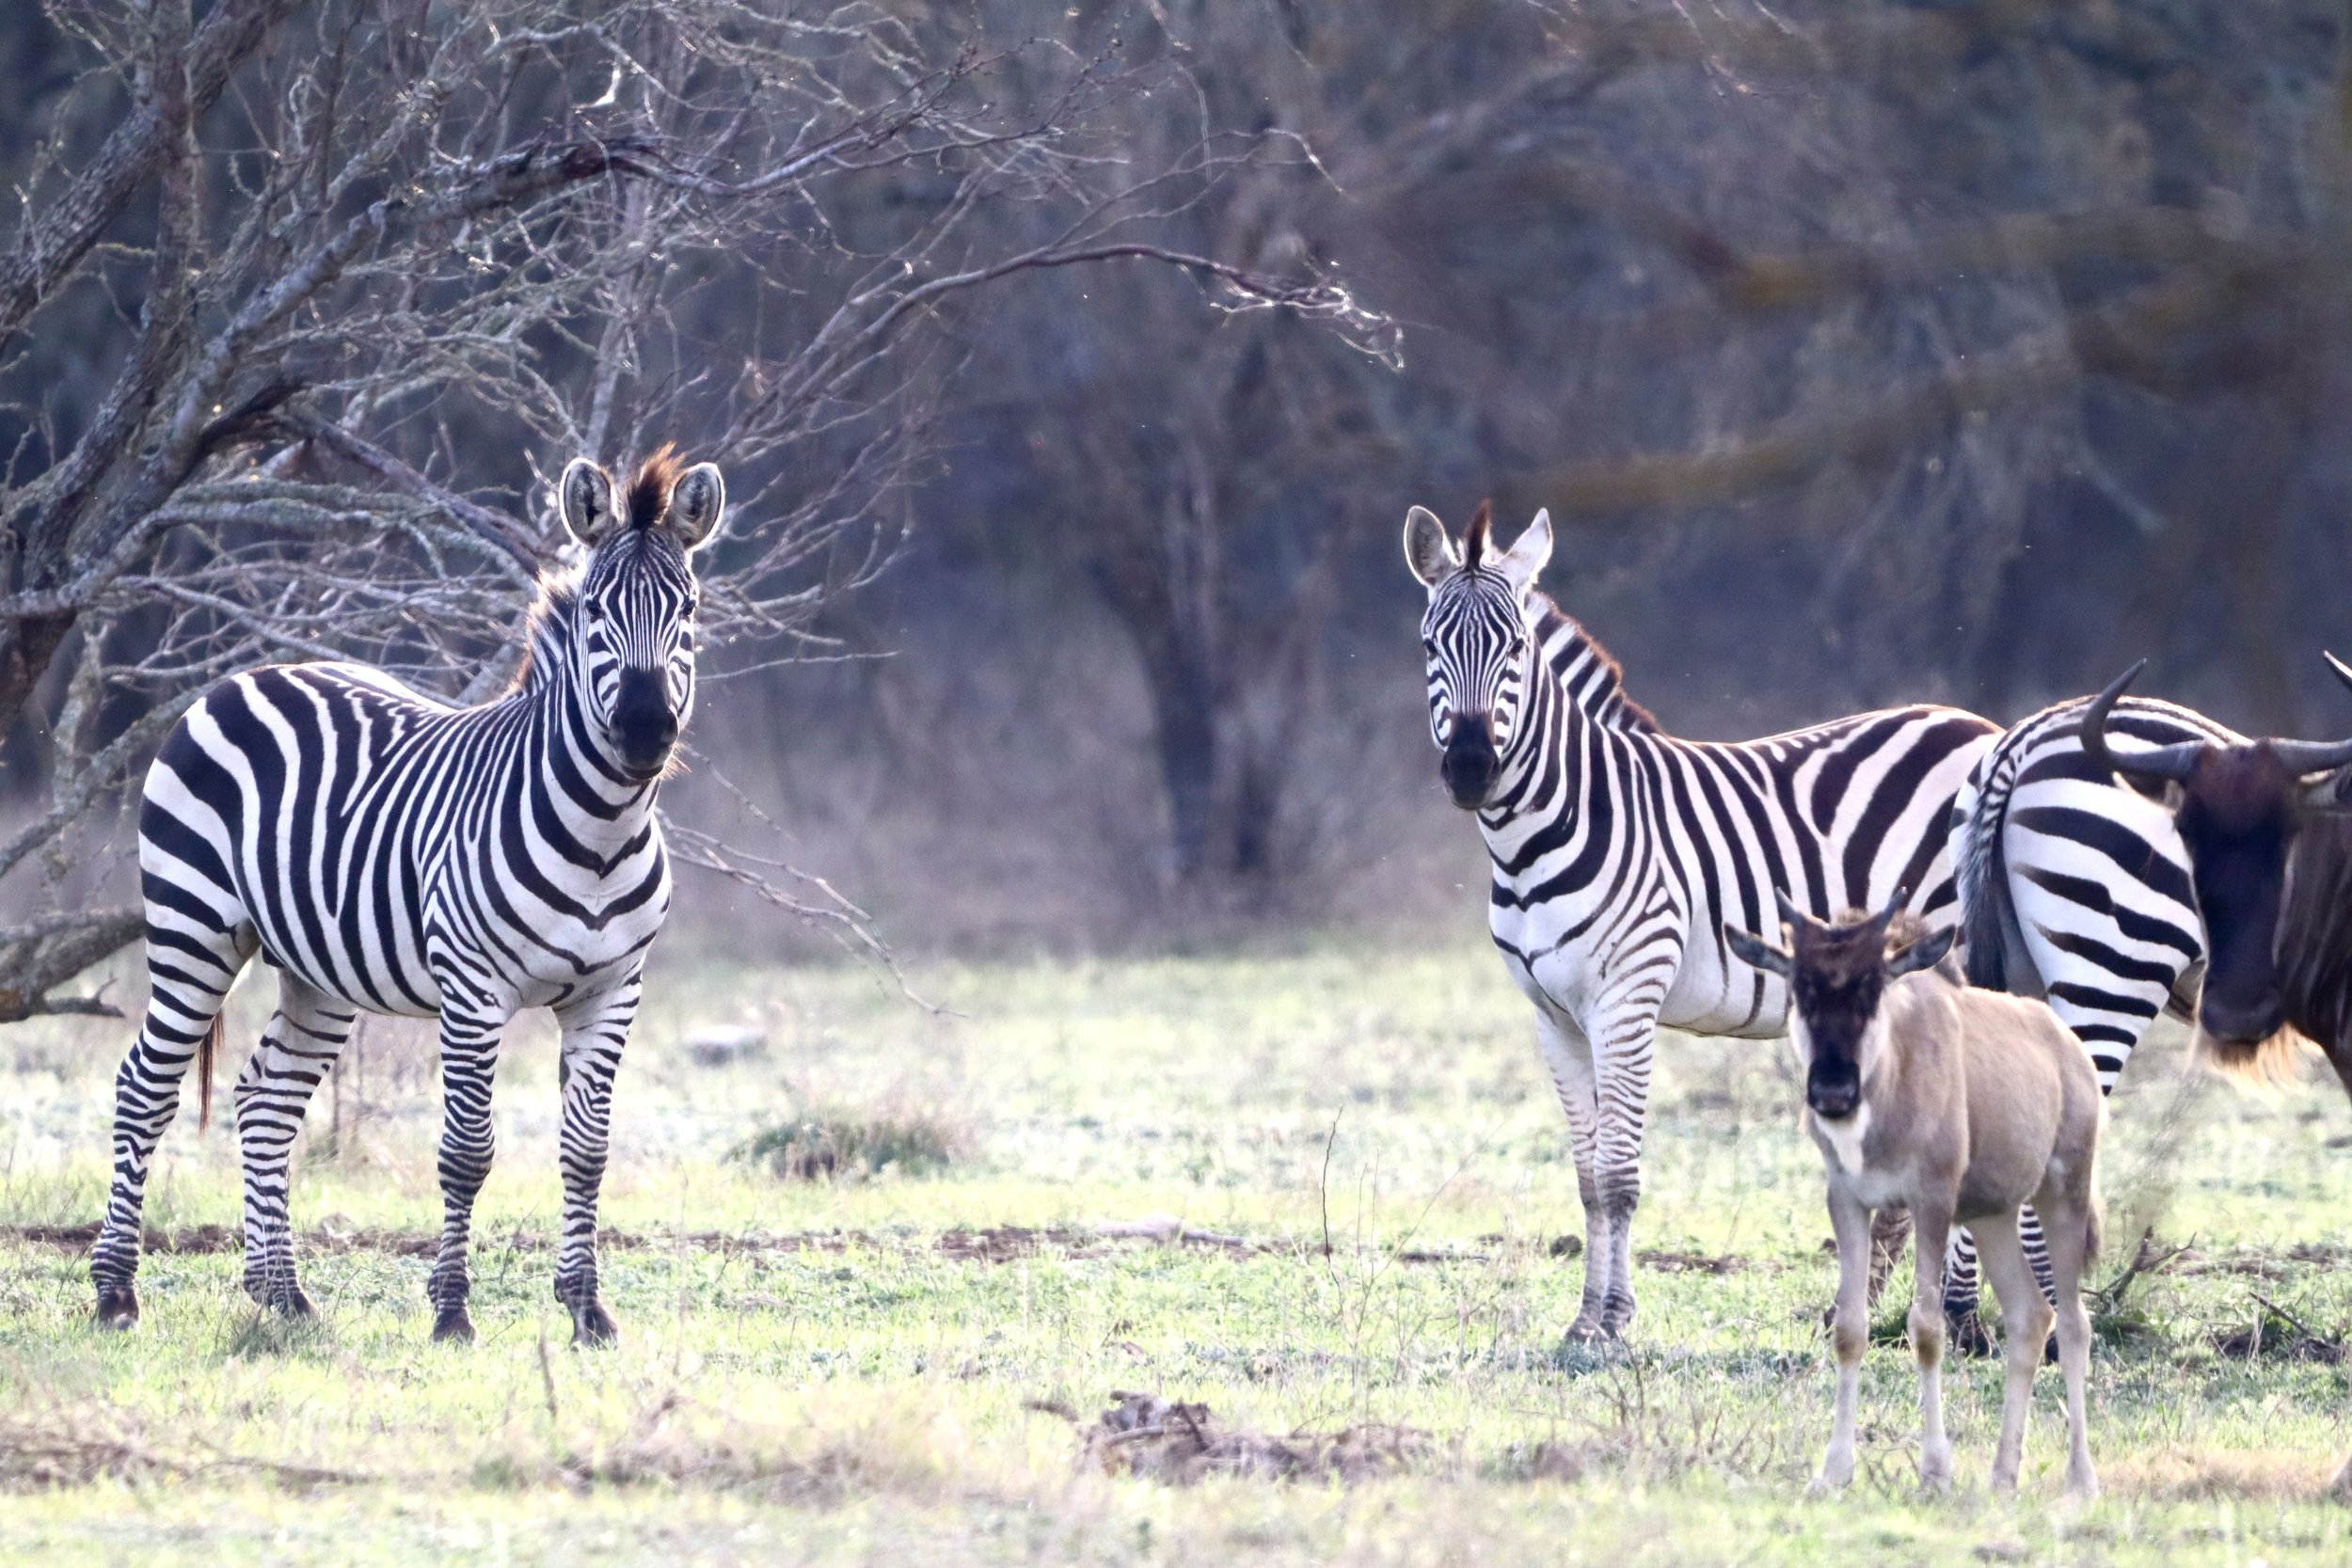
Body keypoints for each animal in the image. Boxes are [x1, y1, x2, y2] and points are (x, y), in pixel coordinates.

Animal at [91, 447, 722, 1346]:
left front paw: (587, 1308)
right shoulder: (473, 990)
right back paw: (116, 1291)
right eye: (598, 609)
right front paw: (452, 1309)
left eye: (689, 608)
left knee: (265, 1098)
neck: (602, 834)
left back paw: (281, 1292)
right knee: (144, 1087)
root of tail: (247, 675)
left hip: (316, 971)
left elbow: (586, 1151)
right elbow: (467, 1150)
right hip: (194, 930)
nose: (643, 731)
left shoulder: (612, 993)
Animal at [1406, 501, 1999, 1342]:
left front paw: (1614, 1320)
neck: (1552, 824)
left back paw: (1962, 1320)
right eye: (1431, 646)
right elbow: (1586, 1177)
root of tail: (1979, 727)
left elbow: (1619, 1174)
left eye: (1516, 647)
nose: (1468, 769)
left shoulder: (1628, 998)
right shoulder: (1553, 1017)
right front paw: (1585, 1320)